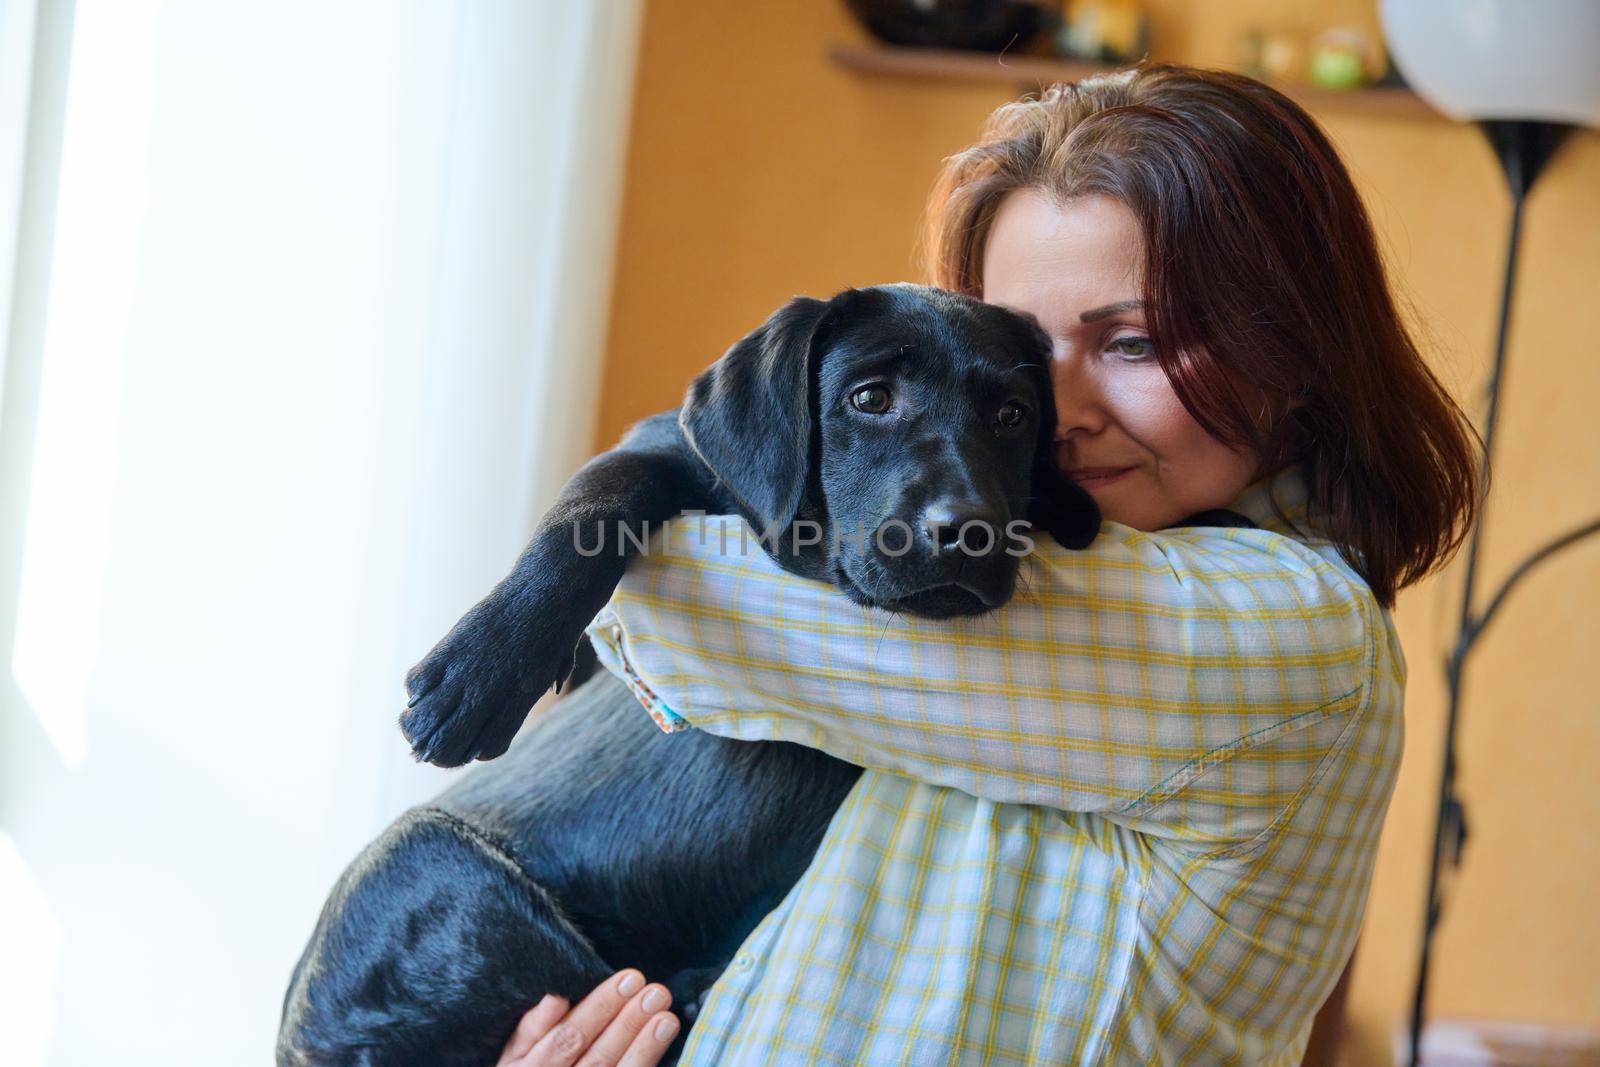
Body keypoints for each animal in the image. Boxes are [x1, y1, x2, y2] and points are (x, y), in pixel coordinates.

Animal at [278, 286, 1100, 1067]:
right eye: (870, 398)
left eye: (1013, 414)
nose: (969, 531)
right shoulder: (660, 448)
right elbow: (591, 509)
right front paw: (481, 672)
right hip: (441, 865)